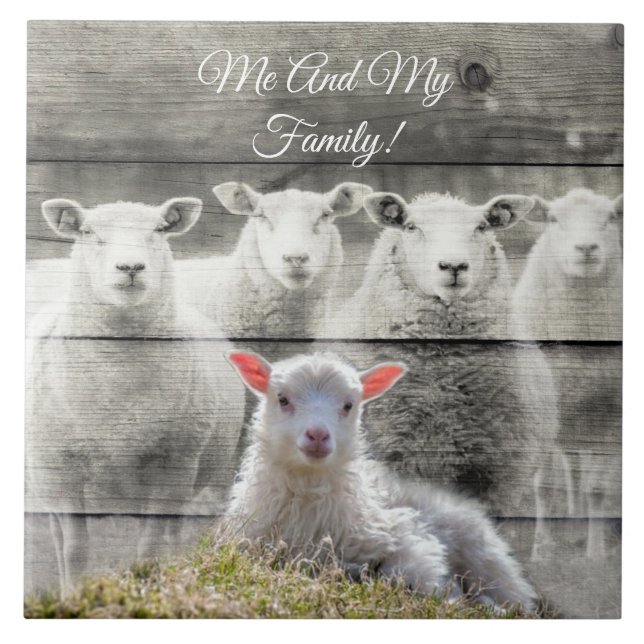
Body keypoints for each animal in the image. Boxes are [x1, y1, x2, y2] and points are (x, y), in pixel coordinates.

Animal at [25, 197, 246, 592]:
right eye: (88, 232)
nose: (130, 267)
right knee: (57, 537)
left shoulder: (172, 465)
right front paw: (74, 593)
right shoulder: (60, 470)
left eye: (159, 230)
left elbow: (149, 546)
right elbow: (75, 549)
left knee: (172, 533)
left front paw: (148, 585)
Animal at [224, 351, 537, 611]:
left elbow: (405, 574)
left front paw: (452, 597)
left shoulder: (407, 537)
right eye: (283, 399)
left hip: (486, 559)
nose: (318, 435)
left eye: (348, 405)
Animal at [512, 188, 623, 558]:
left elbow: (597, 488)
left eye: (611, 218)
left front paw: (596, 553)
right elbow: (544, 487)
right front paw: (542, 550)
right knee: (570, 468)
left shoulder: (611, 414)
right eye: (553, 220)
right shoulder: (543, 410)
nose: (586, 248)